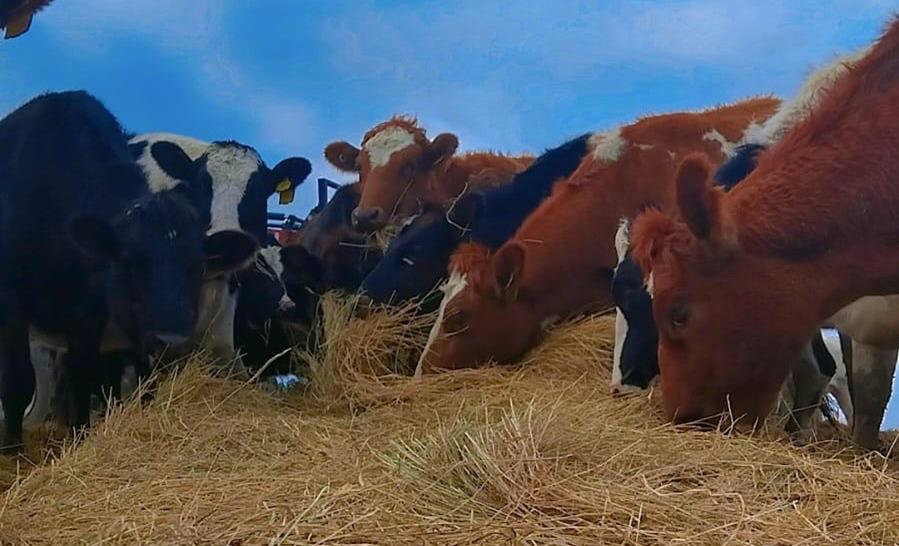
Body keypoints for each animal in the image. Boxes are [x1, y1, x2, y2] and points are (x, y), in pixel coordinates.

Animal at [0, 91, 255, 453]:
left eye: (197, 268)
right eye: (131, 261)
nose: (171, 340)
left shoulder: (88, 318)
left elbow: (81, 383)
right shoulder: (12, 303)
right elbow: (17, 382)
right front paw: (13, 452)